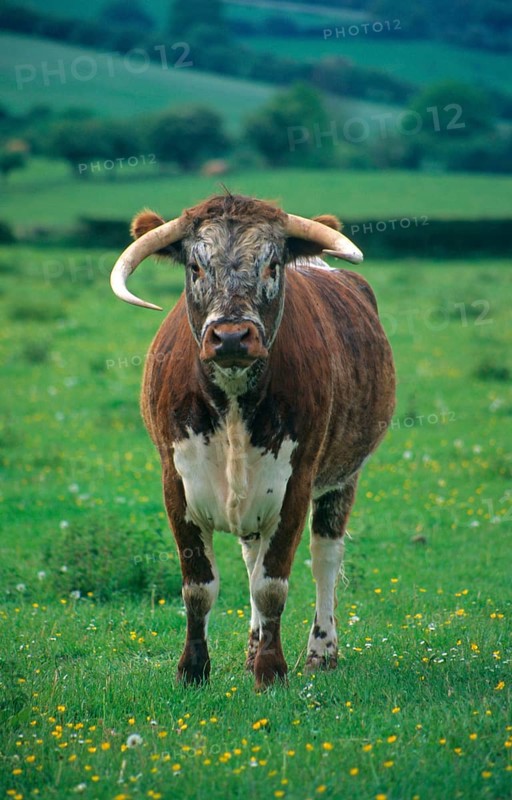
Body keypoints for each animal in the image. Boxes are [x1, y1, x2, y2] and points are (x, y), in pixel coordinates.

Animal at [110, 194, 395, 689]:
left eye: (273, 264)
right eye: (195, 266)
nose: (230, 337)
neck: (233, 402)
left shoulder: (295, 486)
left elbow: (272, 584)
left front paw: (271, 670)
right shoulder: (175, 485)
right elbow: (199, 587)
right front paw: (194, 669)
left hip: (343, 478)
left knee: (325, 556)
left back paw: (321, 651)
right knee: (251, 557)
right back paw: (251, 647)